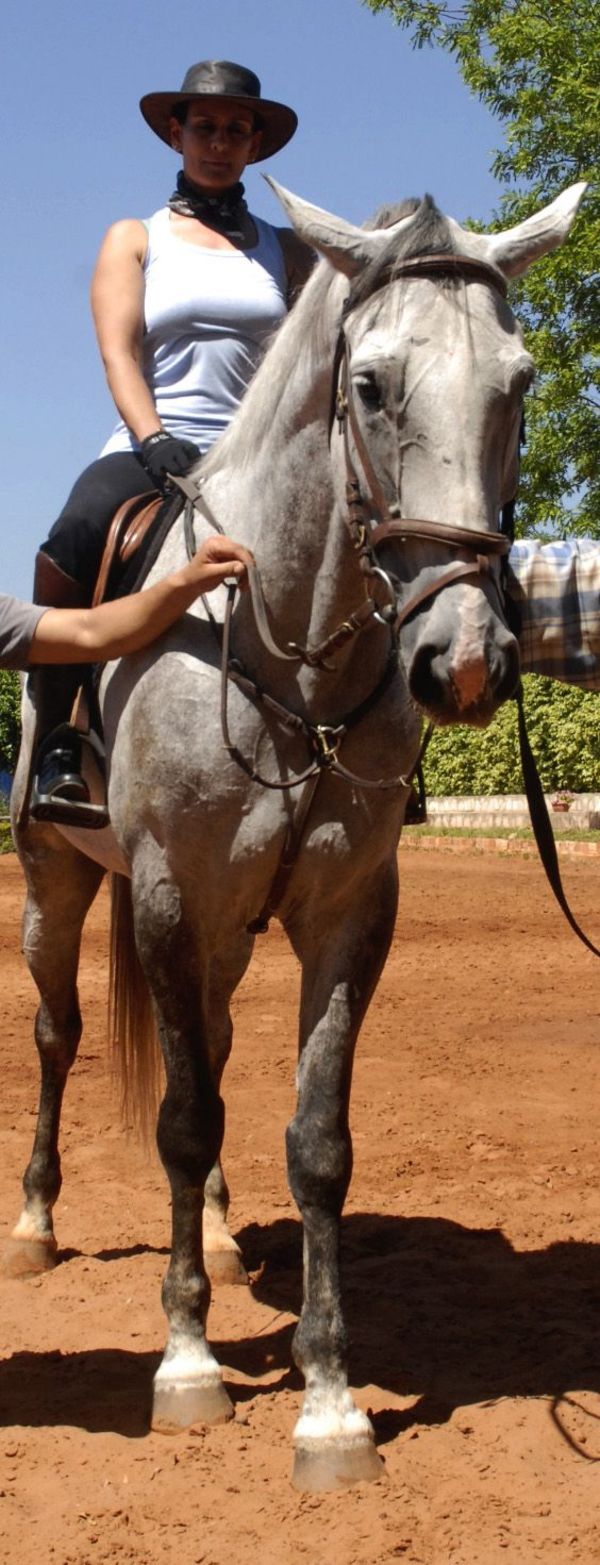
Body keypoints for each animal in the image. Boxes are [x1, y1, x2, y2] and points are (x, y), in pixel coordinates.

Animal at [5, 177, 589, 1483]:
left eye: (520, 381)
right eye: (368, 384)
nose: (464, 660)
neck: (286, 643)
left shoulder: (346, 909)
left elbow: (314, 1137)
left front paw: (328, 1401)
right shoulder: (166, 894)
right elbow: (178, 1120)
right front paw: (186, 1364)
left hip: (223, 928)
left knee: (213, 1044)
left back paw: (223, 1242)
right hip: (59, 878)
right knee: (64, 1035)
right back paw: (37, 1220)